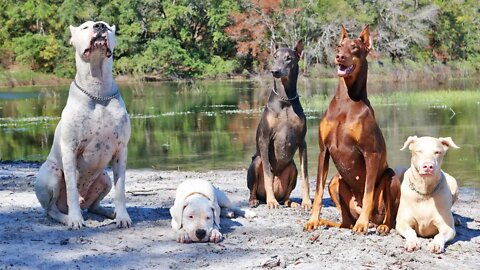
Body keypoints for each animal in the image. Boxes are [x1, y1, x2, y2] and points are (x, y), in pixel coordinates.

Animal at [35, 21, 131, 229]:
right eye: (85, 27)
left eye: (108, 28)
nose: (100, 26)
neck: (98, 92)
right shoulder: (70, 149)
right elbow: (71, 188)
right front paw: (75, 220)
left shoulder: (121, 150)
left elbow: (120, 190)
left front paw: (122, 217)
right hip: (51, 173)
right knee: (51, 210)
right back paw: (67, 217)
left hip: (104, 177)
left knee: (94, 205)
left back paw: (109, 213)